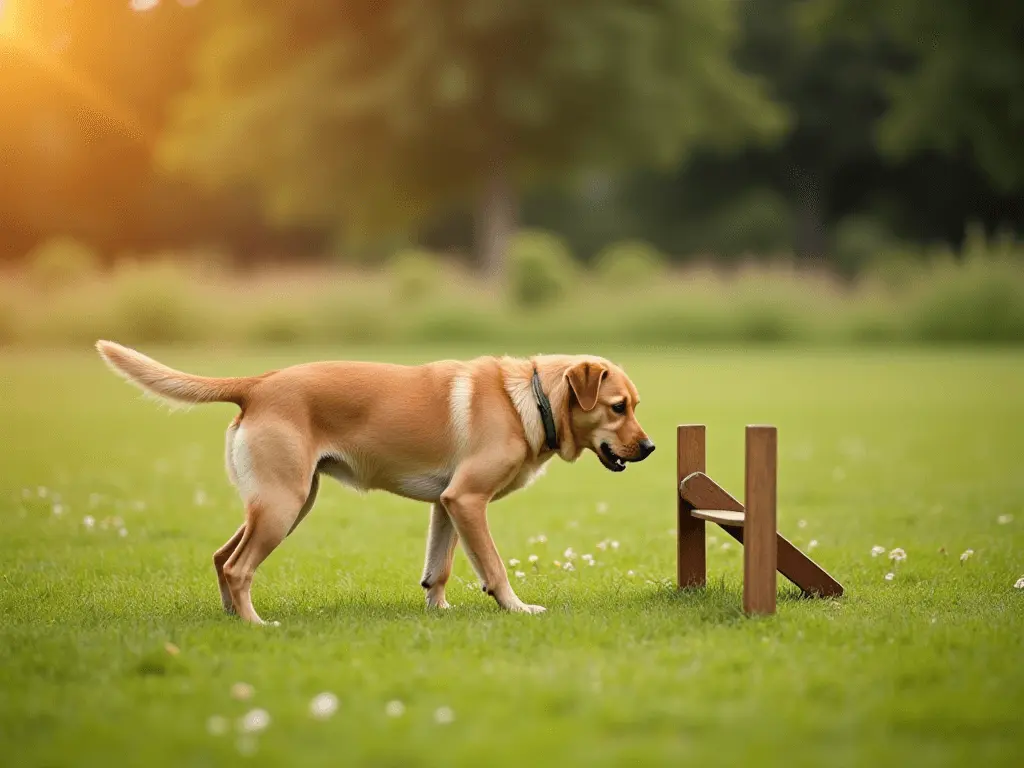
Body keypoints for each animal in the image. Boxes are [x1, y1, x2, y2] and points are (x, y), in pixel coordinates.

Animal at [96, 342, 655, 626]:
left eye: (634, 406)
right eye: (617, 408)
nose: (650, 448)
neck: (531, 400)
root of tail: (258, 384)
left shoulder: (447, 504)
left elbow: (439, 568)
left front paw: (439, 611)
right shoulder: (468, 500)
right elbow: (493, 567)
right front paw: (516, 608)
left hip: (284, 503)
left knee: (220, 557)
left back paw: (233, 619)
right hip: (282, 505)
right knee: (237, 567)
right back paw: (256, 625)